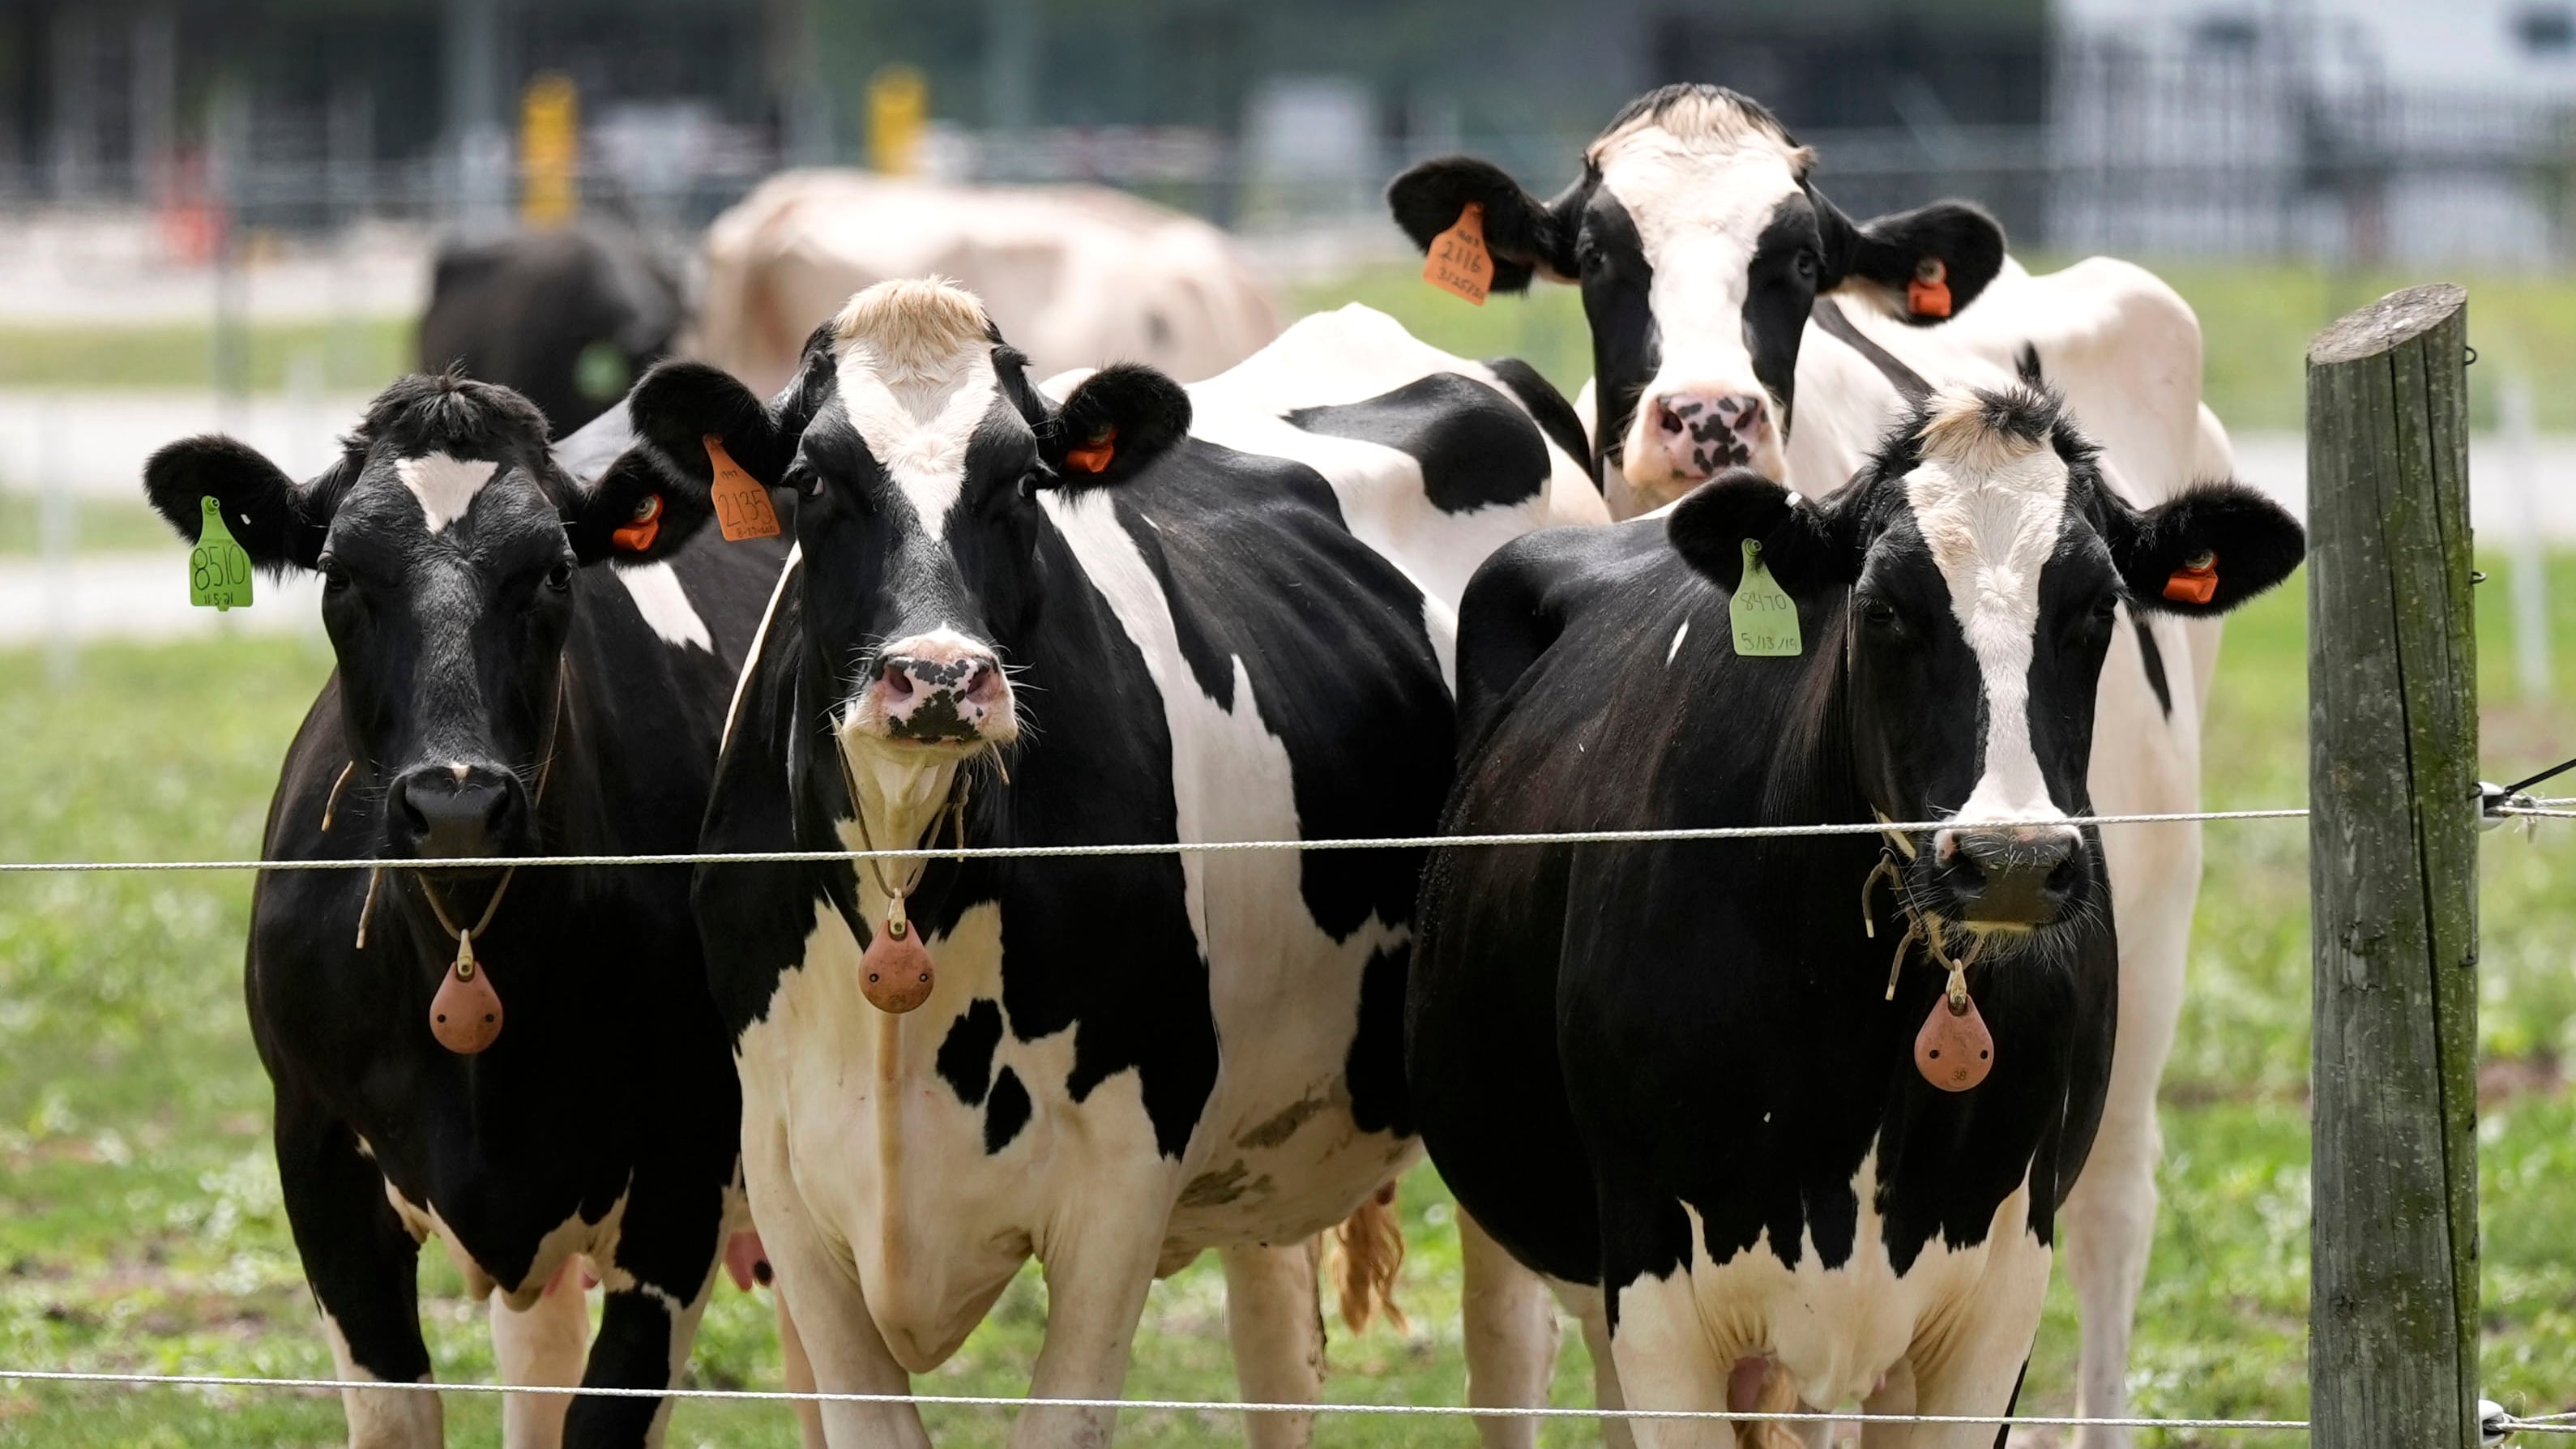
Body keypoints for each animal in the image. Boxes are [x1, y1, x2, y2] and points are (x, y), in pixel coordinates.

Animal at [614, 276, 1605, 1449]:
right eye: (811, 478)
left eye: (1022, 481)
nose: (936, 677)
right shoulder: (787, 1185)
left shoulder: (1121, 1183)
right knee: (1281, 1357)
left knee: (1518, 1353)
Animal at [1389, 84, 2247, 1446]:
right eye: (1597, 254)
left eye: (1794, 262)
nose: (1706, 418)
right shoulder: (1662, 1291)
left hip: (2155, 940)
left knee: (2117, 1212)